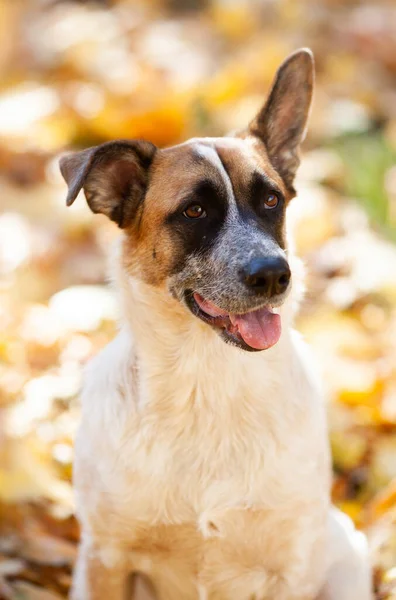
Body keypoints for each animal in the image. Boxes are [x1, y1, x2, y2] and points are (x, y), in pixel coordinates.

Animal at [60, 49, 372, 596]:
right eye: (194, 211)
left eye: (271, 200)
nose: (274, 274)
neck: (208, 383)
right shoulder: (106, 558)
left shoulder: (288, 568)